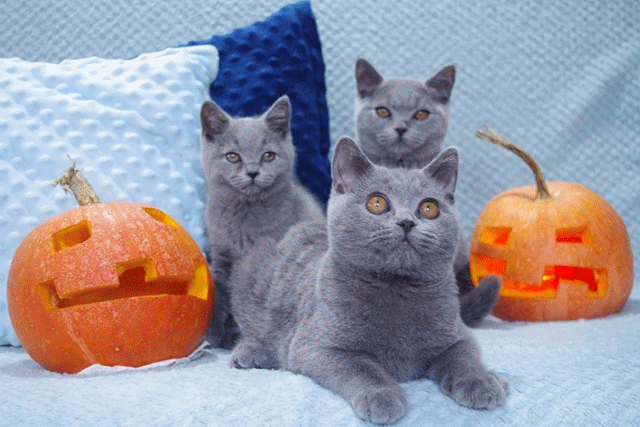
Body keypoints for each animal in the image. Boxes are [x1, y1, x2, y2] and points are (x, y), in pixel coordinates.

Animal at [200, 95, 325, 348]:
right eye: (232, 156)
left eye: (268, 156)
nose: (252, 172)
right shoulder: (221, 255)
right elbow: (219, 294)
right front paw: (211, 333)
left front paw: (236, 335)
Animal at [229, 137, 508, 424]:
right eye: (377, 203)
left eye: (429, 208)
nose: (406, 222)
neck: (397, 288)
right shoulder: (317, 345)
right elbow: (360, 367)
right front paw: (381, 397)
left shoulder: (458, 333)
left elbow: (464, 356)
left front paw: (481, 381)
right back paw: (251, 352)